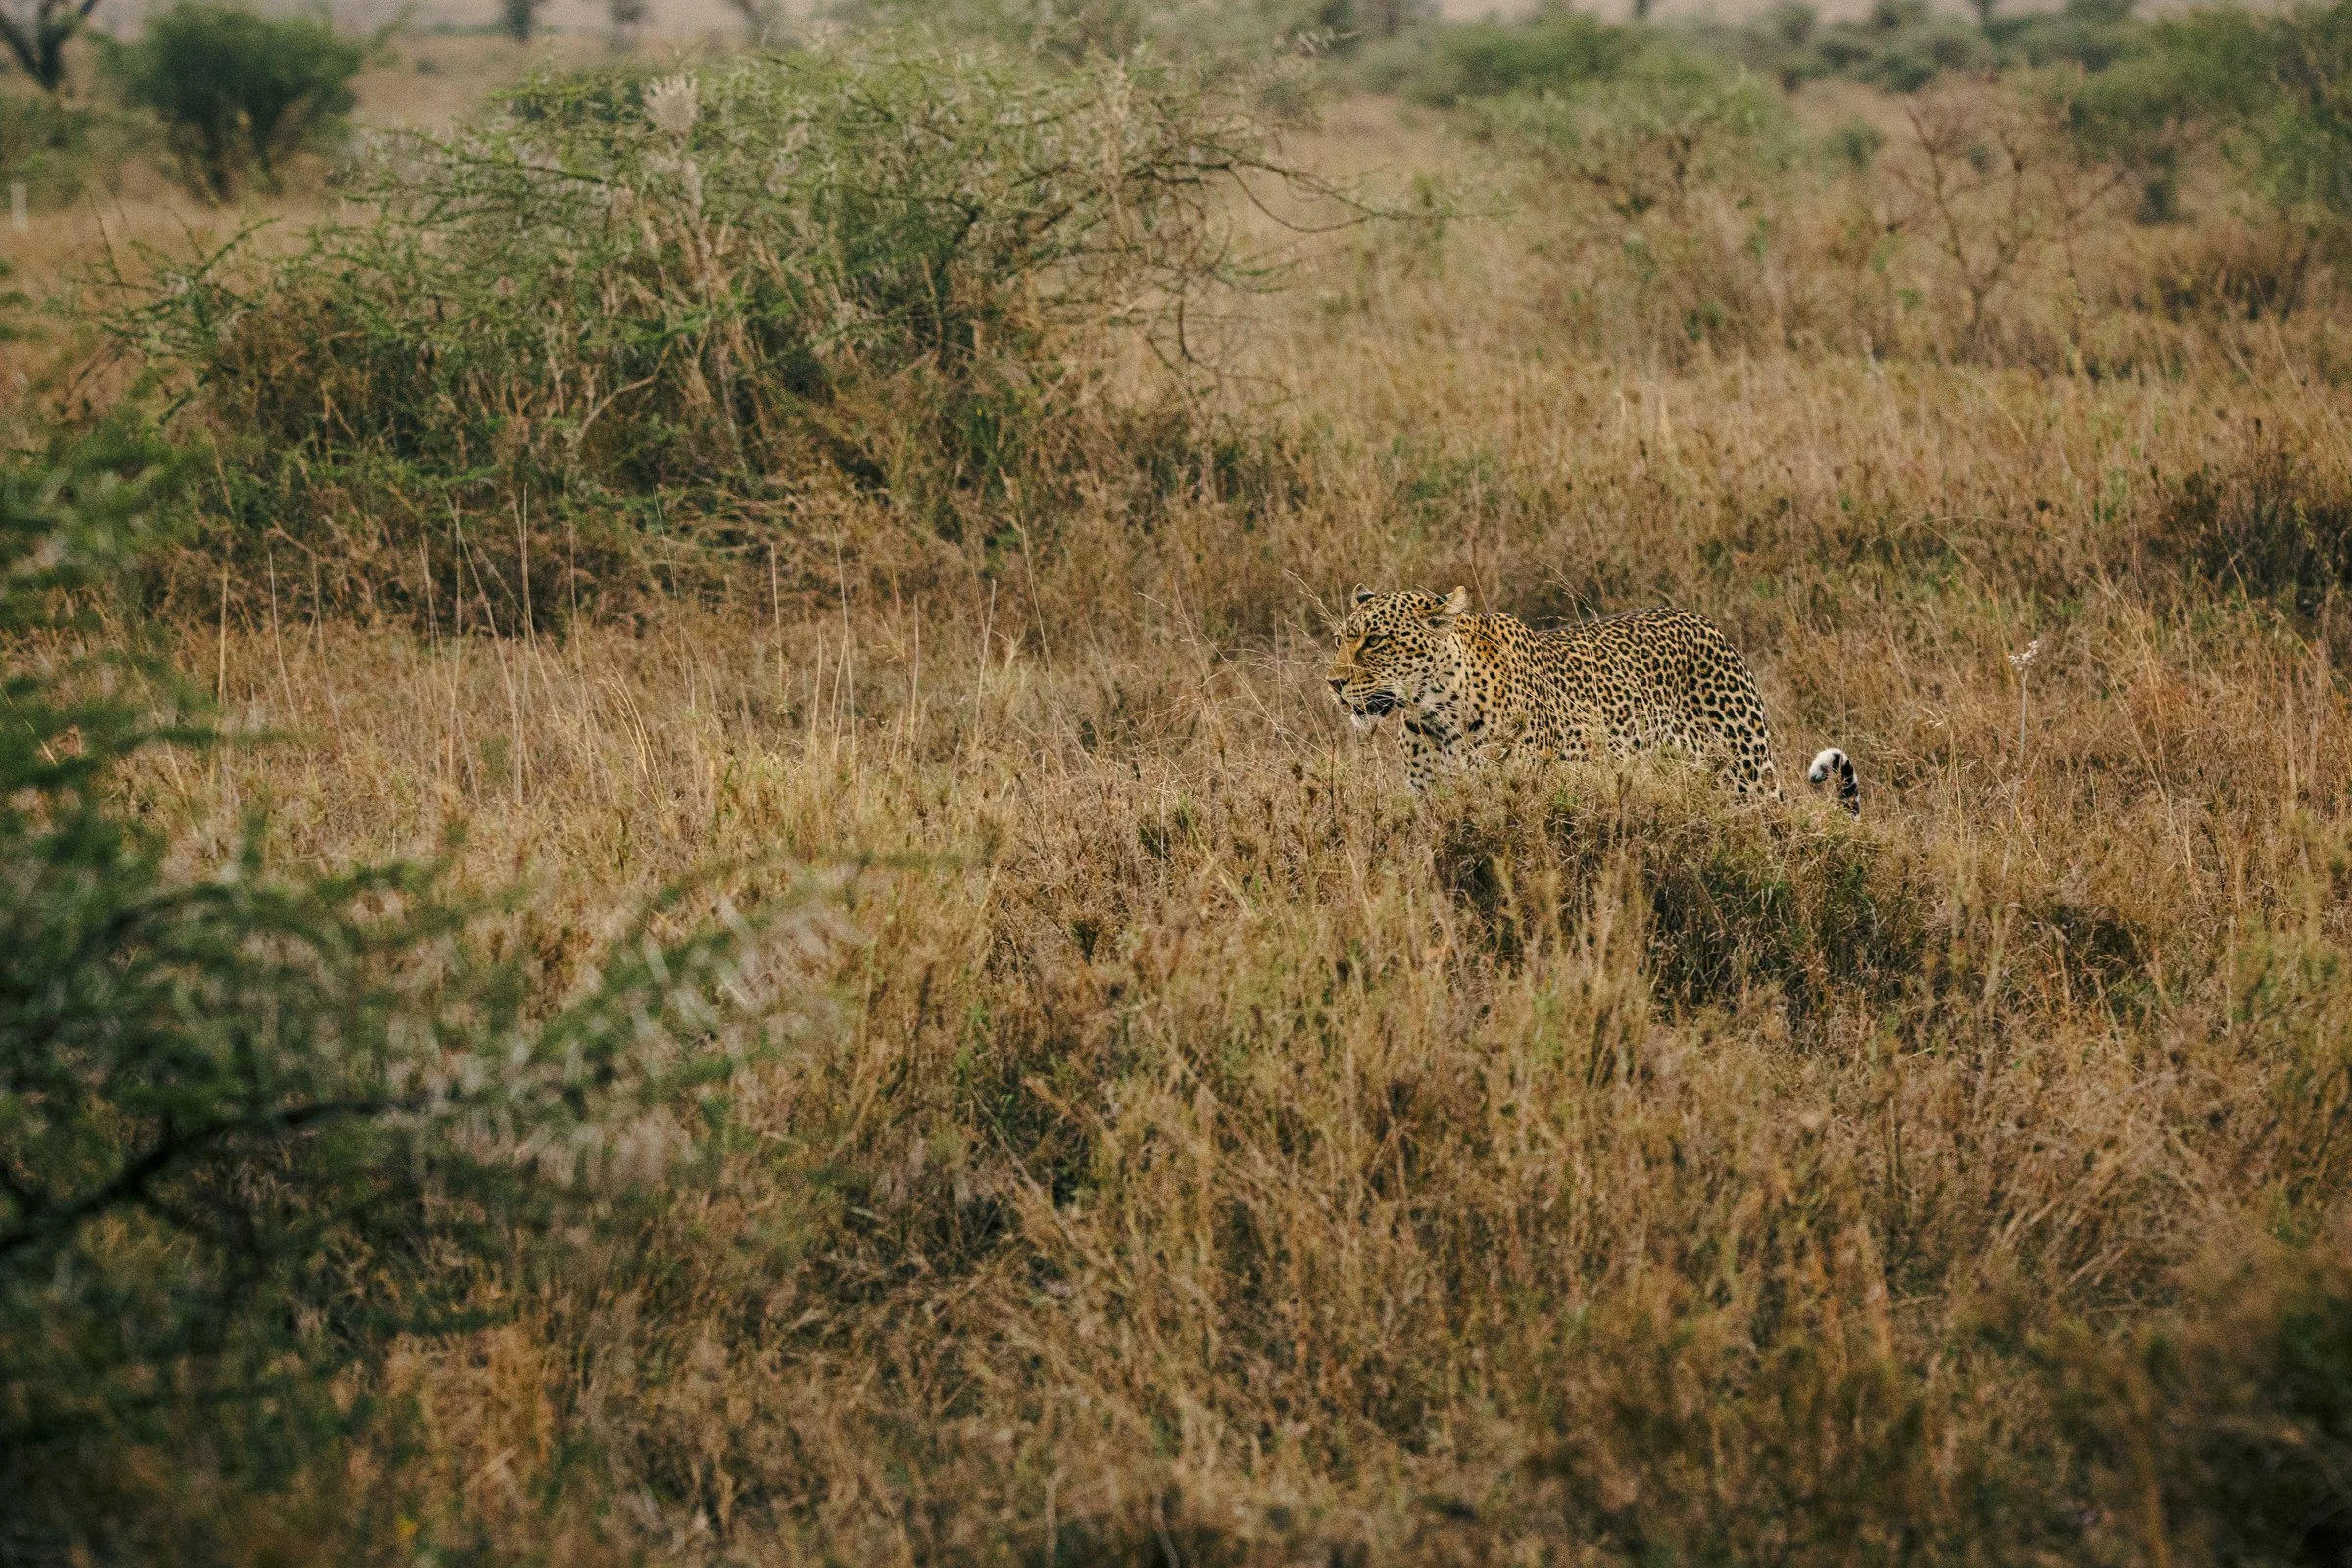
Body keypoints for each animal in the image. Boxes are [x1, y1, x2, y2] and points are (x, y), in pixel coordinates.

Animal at [1325, 585, 1860, 813]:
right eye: (1339, 639)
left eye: (1374, 641)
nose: (1332, 683)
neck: (1437, 714)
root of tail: (1710, 624)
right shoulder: (1428, 803)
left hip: (1750, 779)